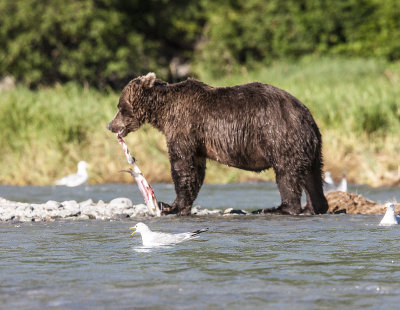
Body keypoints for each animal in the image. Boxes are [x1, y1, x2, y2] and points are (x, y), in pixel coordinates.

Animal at [107, 72, 328, 216]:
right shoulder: (198, 140)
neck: (163, 112)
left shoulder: (185, 126)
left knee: (286, 173)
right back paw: (314, 207)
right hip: (312, 145)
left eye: (120, 106)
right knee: (313, 175)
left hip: (279, 134)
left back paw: (277, 208)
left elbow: (182, 165)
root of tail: (306, 115)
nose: (110, 125)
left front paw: (170, 206)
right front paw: (180, 206)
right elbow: (195, 170)